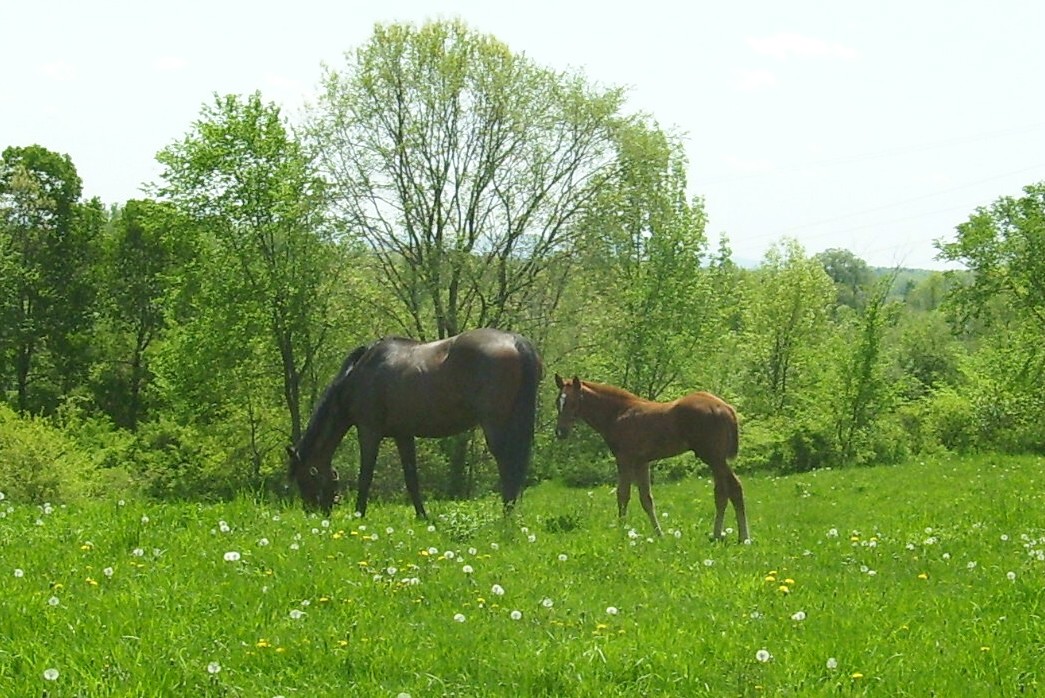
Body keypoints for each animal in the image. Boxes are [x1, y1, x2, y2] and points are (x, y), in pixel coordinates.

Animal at [287, 328, 542, 519]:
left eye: (304, 478)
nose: (313, 514)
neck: (358, 375)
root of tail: (515, 342)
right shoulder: (403, 435)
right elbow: (411, 479)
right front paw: (422, 516)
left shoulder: (369, 431)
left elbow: (365, 475)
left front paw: (359, 514)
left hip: (496, 426)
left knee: (508, 467)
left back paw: (506, 517)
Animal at [553, 374, 749, 542]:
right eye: (558, 402)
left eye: (573, 402)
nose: (560, 432)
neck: (618, 413)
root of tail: (726, 408)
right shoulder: (642, 462)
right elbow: (646, 499)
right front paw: (659, 535)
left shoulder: (624, 458)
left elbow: (622, 494)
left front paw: (621, 532)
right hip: (717, 459)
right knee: (729, 490)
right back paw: (733, 536)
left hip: (714, 457)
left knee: (728, 490)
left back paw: (733, 536)